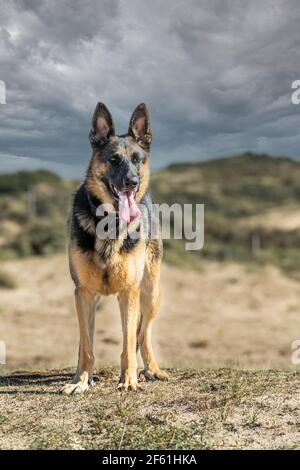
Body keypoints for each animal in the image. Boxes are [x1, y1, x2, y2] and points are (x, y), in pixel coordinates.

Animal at [61, 102, 168, 392]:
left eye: (137, 159)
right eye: (114, 160)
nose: (132, 182)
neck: (111, 223)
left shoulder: (129, 291)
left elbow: (129, 341)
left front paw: (129, 379)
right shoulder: (84, 293)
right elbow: (87, 346)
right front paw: (81, 380)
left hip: (151, 293)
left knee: (144, 333)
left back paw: (152, 369)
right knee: (85, 338)